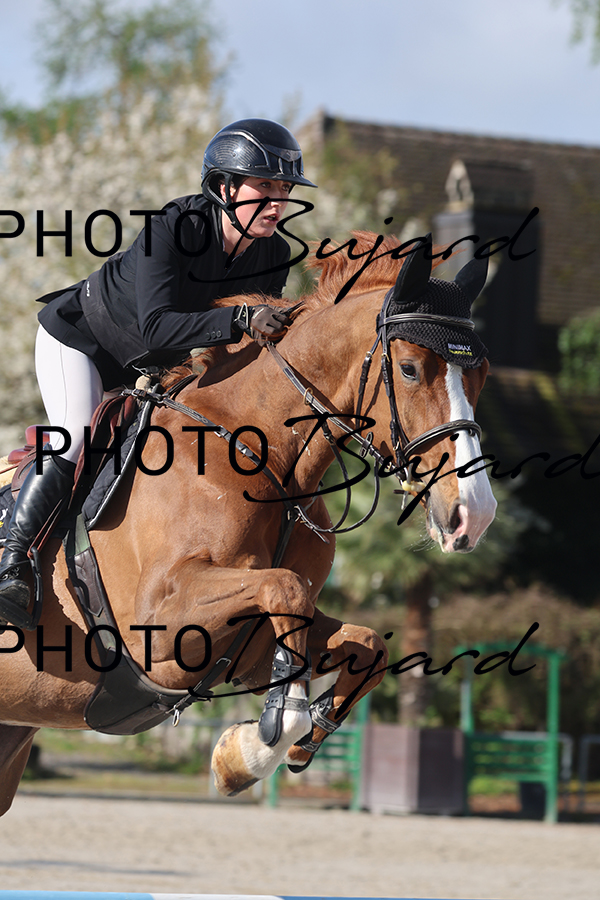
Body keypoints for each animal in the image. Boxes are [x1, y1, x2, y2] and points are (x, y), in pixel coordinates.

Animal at [0, 232, 497, 815]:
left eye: (481, 375)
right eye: (411, 369)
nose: (474, 514)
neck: (259, 456)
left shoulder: (247, 648)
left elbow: (367, 644)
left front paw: (276, 748)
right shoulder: (159, 629)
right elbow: (285, 587)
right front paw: (259, 745)